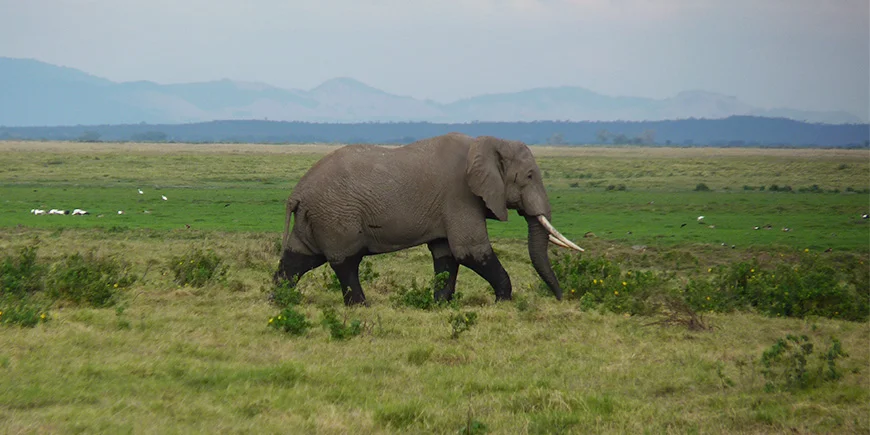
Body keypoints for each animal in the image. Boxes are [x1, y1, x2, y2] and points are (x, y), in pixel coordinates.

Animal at [273, 133, 583, 306]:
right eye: (529, 176)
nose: (560, 299)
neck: (486, 144)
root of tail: (295, 193)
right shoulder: (460, 196)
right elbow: (471, 251)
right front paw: (503, 302)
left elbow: (447, 256)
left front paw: (440, 305)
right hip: (336, 216)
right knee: (346, 262)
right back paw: (361, 307)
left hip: (316, 218)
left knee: (297, 259)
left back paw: (277, 303)